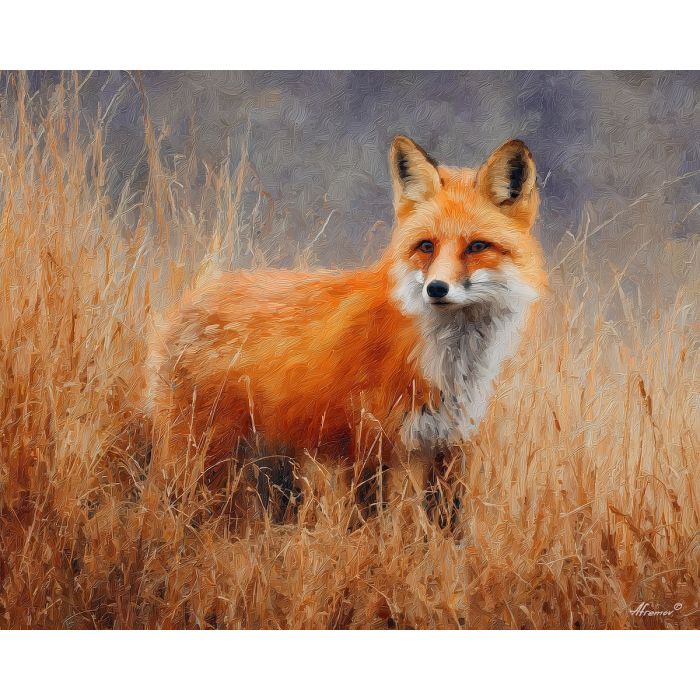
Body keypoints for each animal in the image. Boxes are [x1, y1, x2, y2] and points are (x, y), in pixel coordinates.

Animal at [147, 136, 547, 500]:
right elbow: (399, 521)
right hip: (202, 453)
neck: (449, 362)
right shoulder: (388, 448)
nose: (436, 289)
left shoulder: (441, 444)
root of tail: (191, 299)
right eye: (426, 246)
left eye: (477, 246)